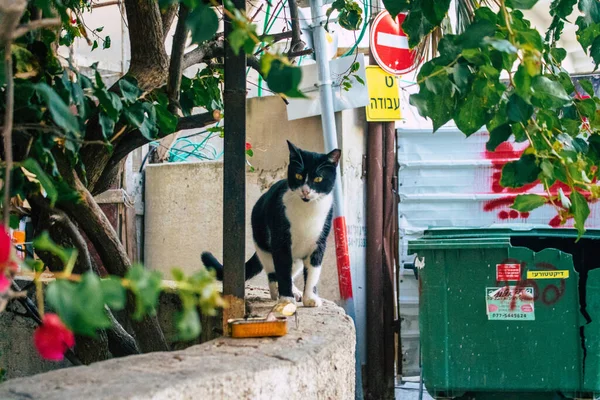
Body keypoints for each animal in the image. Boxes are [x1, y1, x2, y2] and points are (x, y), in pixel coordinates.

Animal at [204, 141, 340, 306]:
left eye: (318, 179)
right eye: (298, 175)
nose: (306, 191)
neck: (307, 211)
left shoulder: (319, 242)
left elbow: (313, 272)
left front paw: (310, 298)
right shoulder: (280, 240)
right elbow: (282, 270)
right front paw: (286, 299)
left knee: (292, 271)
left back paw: (296, 292)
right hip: (262, 243)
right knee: (273, 272)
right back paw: (277, 292)